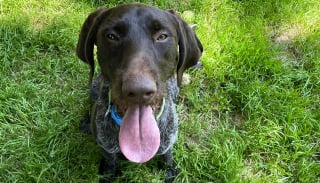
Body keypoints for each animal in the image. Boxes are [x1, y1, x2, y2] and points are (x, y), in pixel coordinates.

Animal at [75, 3, 202, 183]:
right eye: (112, 36)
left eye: (162, 36)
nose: (138, 91)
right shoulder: (107, 148)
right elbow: (109, 162)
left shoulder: (167, 143)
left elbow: (167, 158)